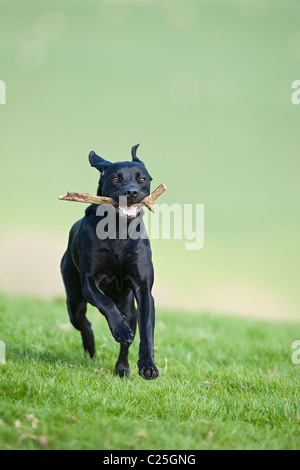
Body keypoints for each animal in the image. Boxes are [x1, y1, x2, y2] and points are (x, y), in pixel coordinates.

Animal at [61, 145, 159, 380]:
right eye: (115, 178)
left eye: (142, 179)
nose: (131, 192)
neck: (118, 230)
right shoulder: (90, 283)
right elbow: (105, 303)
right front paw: (119, 329)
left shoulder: (143, 289)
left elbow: (146, 331)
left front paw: (148, 365)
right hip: (74, 300)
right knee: (83, 322)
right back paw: (91, 347)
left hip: (129, 307)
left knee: (127, 343)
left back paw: (122, 369)